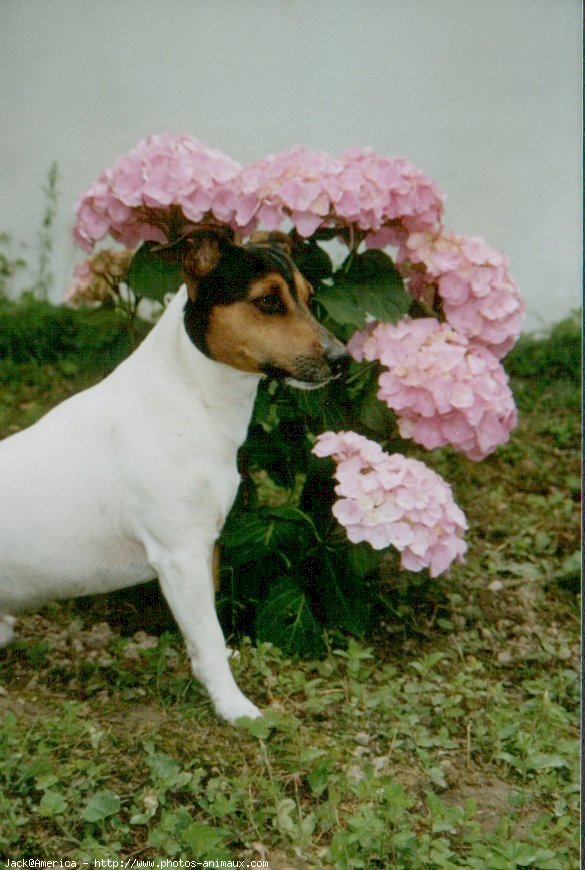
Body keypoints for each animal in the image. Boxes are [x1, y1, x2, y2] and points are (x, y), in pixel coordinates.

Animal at [0, 230, 346, 724]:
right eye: (267, 301)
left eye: (309, 296)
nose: (342, 360)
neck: (188, 398)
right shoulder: (180, 555)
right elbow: (207, 638)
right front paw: (234, 705)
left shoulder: (205, 546)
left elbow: (212, 625)